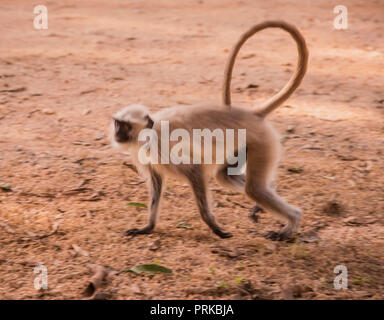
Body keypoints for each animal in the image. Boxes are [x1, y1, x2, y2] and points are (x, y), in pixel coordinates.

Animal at [111, 20, 308, 240]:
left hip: (263, 142)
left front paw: (214, 227)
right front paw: (147, 227)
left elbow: (194, 170)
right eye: (117, 123)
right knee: (228, 177)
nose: (117, 134)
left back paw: (292, 222)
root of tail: (252, 114)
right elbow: (157, 184)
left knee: (254, 188)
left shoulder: (163, 147)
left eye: (125, 126)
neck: (149, 133)